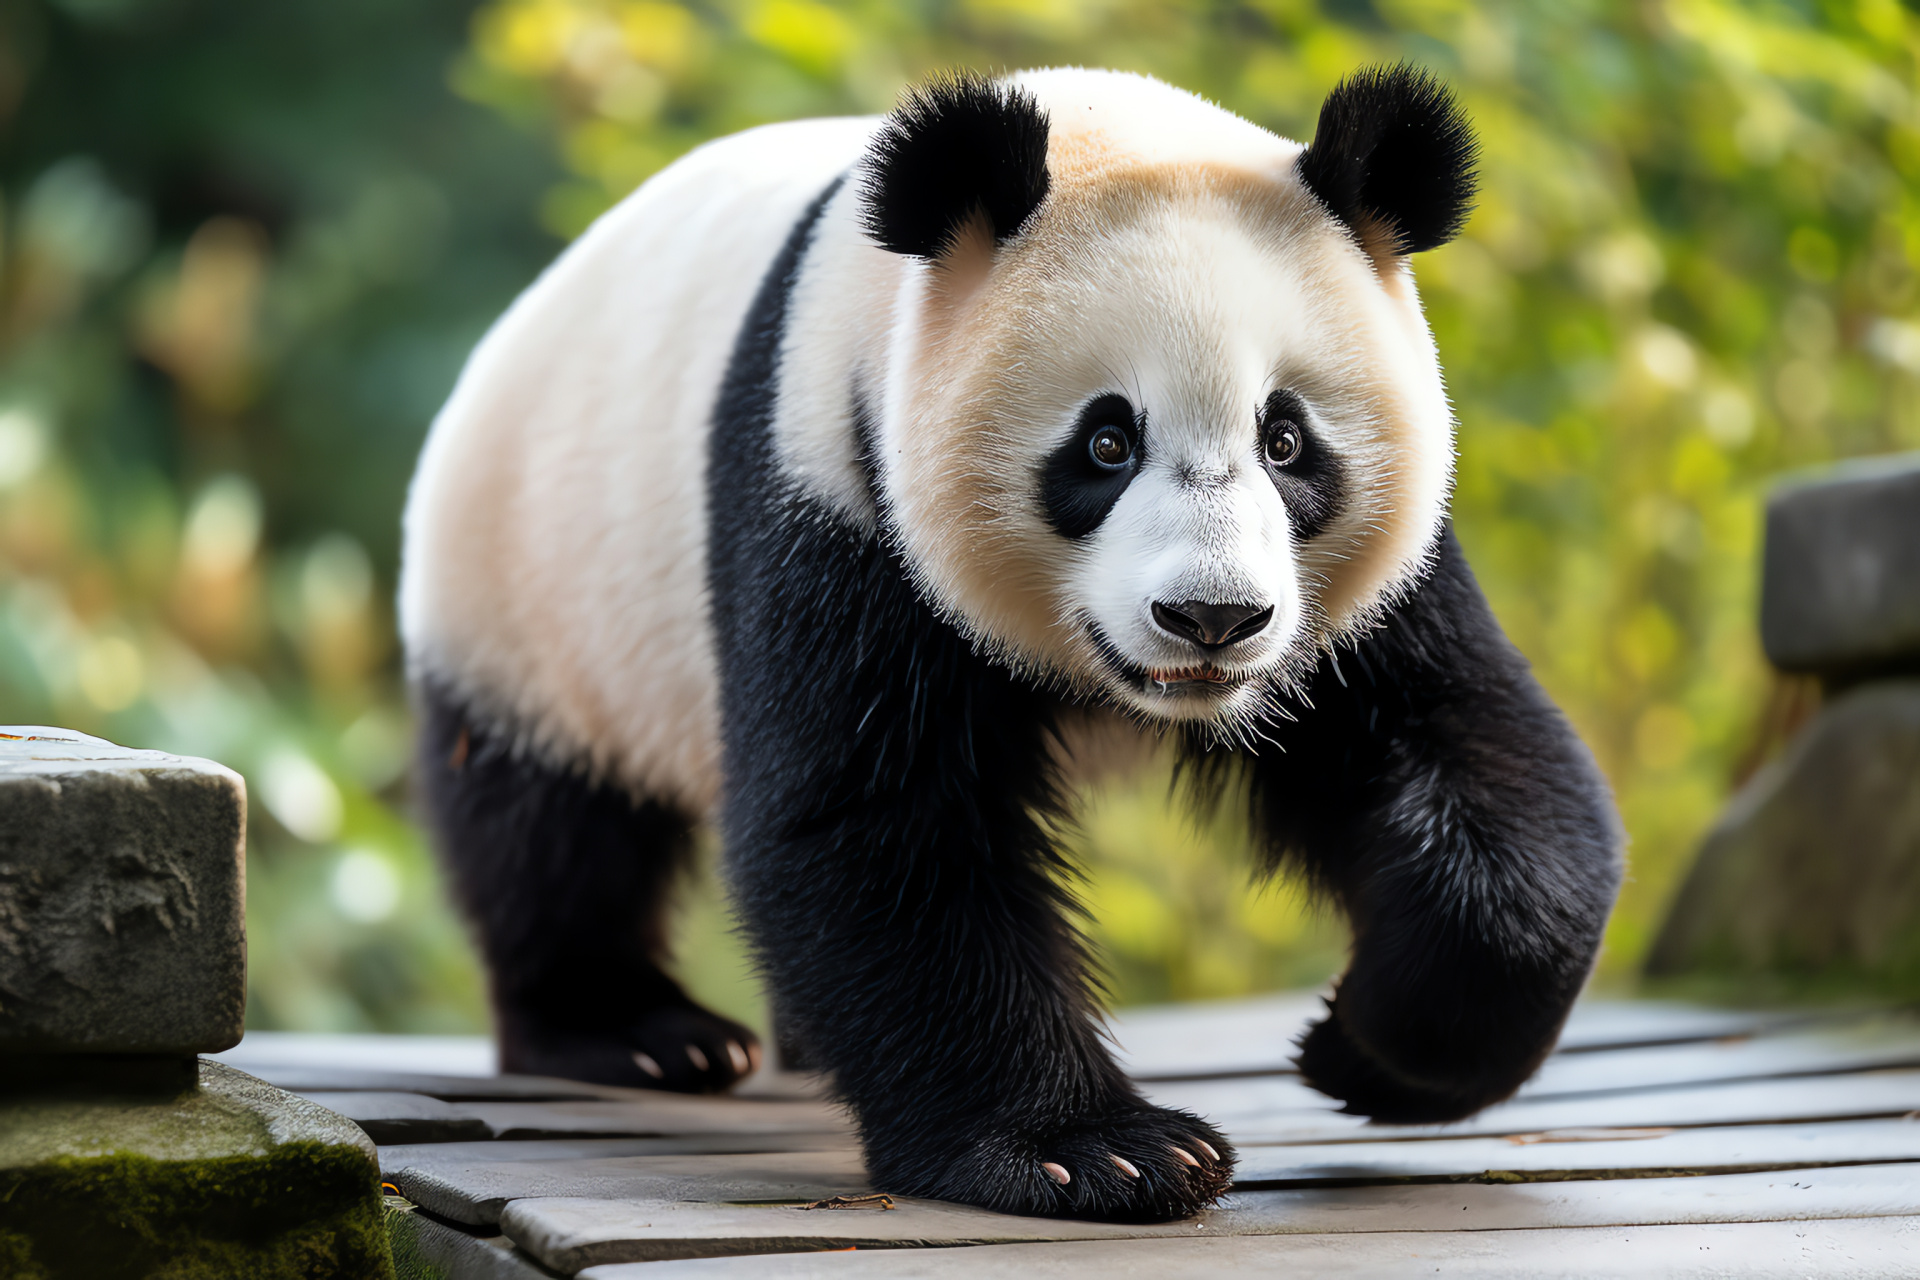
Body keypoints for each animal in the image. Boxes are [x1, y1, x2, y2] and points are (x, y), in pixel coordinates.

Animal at [401, 67, 1620, 1220]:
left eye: (1286, 440)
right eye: (1106, 441)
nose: (1212, 618)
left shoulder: (1358, 597)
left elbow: (1464, 748)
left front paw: (1370, 1047)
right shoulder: (834, 488)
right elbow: (877, 830)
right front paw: (1100, 1151)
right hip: (525, 587)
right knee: (548, 827)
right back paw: (639, 1033)